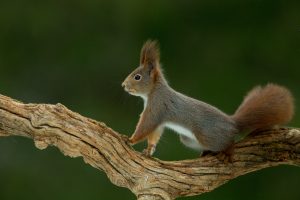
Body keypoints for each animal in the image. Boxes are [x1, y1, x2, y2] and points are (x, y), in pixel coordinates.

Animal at [121, 39, 292, 157]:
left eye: (137, 77)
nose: (123, 85)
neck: (153, 91)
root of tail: (233, 123)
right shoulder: (158, 117)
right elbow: (154, 133)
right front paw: (149, 150)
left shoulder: (157, 107)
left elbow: (146, 126)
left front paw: (130, 140)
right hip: (188, 139)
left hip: (207, 135)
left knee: (229, 141)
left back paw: (226, 151)